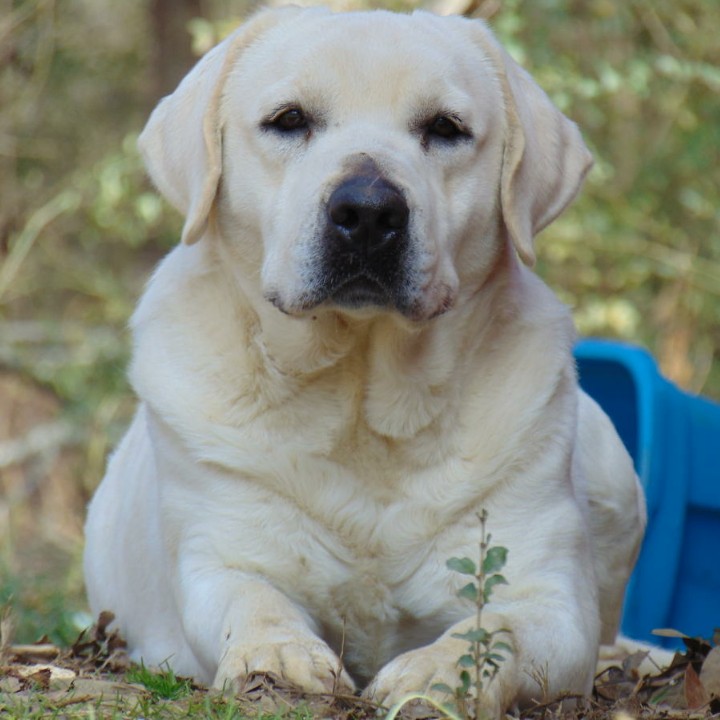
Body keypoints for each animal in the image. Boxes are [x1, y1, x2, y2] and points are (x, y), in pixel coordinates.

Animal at [84, 5, 648, 716]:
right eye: (289, 119)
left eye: (445, 128)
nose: (369, 210)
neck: (362, 398)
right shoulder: (220, 554)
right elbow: (255, 601)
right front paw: (277, 662)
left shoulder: (551, 597)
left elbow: (494, 629)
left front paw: (438, 674)